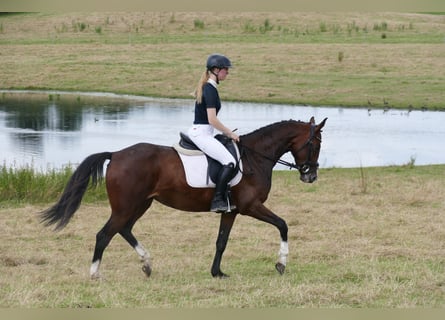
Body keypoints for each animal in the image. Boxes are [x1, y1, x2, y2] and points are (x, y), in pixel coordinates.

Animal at [40, 116, 326, 278]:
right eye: (315, 144)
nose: (311, 176)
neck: (255, 157)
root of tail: (117, 154)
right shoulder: (250, 206)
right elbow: (283, 225)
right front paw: (281, 264)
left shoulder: (232, 211)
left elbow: (221, 242)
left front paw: (217, 272)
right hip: (127, 206)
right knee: (104, 234)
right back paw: (95, 273)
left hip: (141, 204)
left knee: (124, 229)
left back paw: (146, 264)